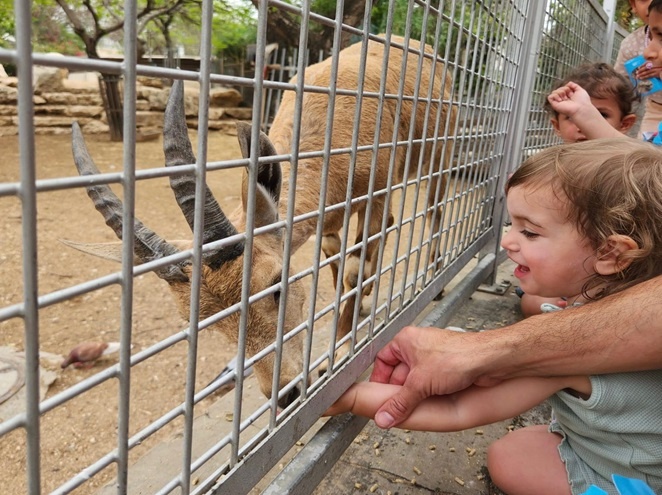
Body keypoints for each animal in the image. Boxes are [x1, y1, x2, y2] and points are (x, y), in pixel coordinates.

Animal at [70, 36, 460, 408]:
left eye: (276, 284)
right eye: (204, 320)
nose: (286, 392)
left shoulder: (376, 192)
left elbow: (354, 267)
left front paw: (339, 352)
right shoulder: (325, 218)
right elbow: (335, 259)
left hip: (438, 154)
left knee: (433, 209)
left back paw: (435, 277)